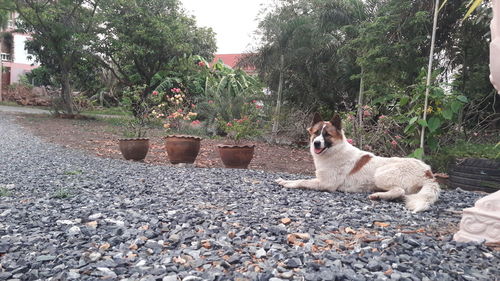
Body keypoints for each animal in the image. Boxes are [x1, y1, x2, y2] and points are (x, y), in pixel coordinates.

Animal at [278, 112, 442, 211]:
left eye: (327, 135)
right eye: (316, 133)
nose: (316, 143)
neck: (334, 150)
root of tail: (428, 172)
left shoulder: (326, 184)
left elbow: (302, 181)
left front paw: (288, 183)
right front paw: (284, 180)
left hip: (380, 174)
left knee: (399, 191)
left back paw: (379, 196)